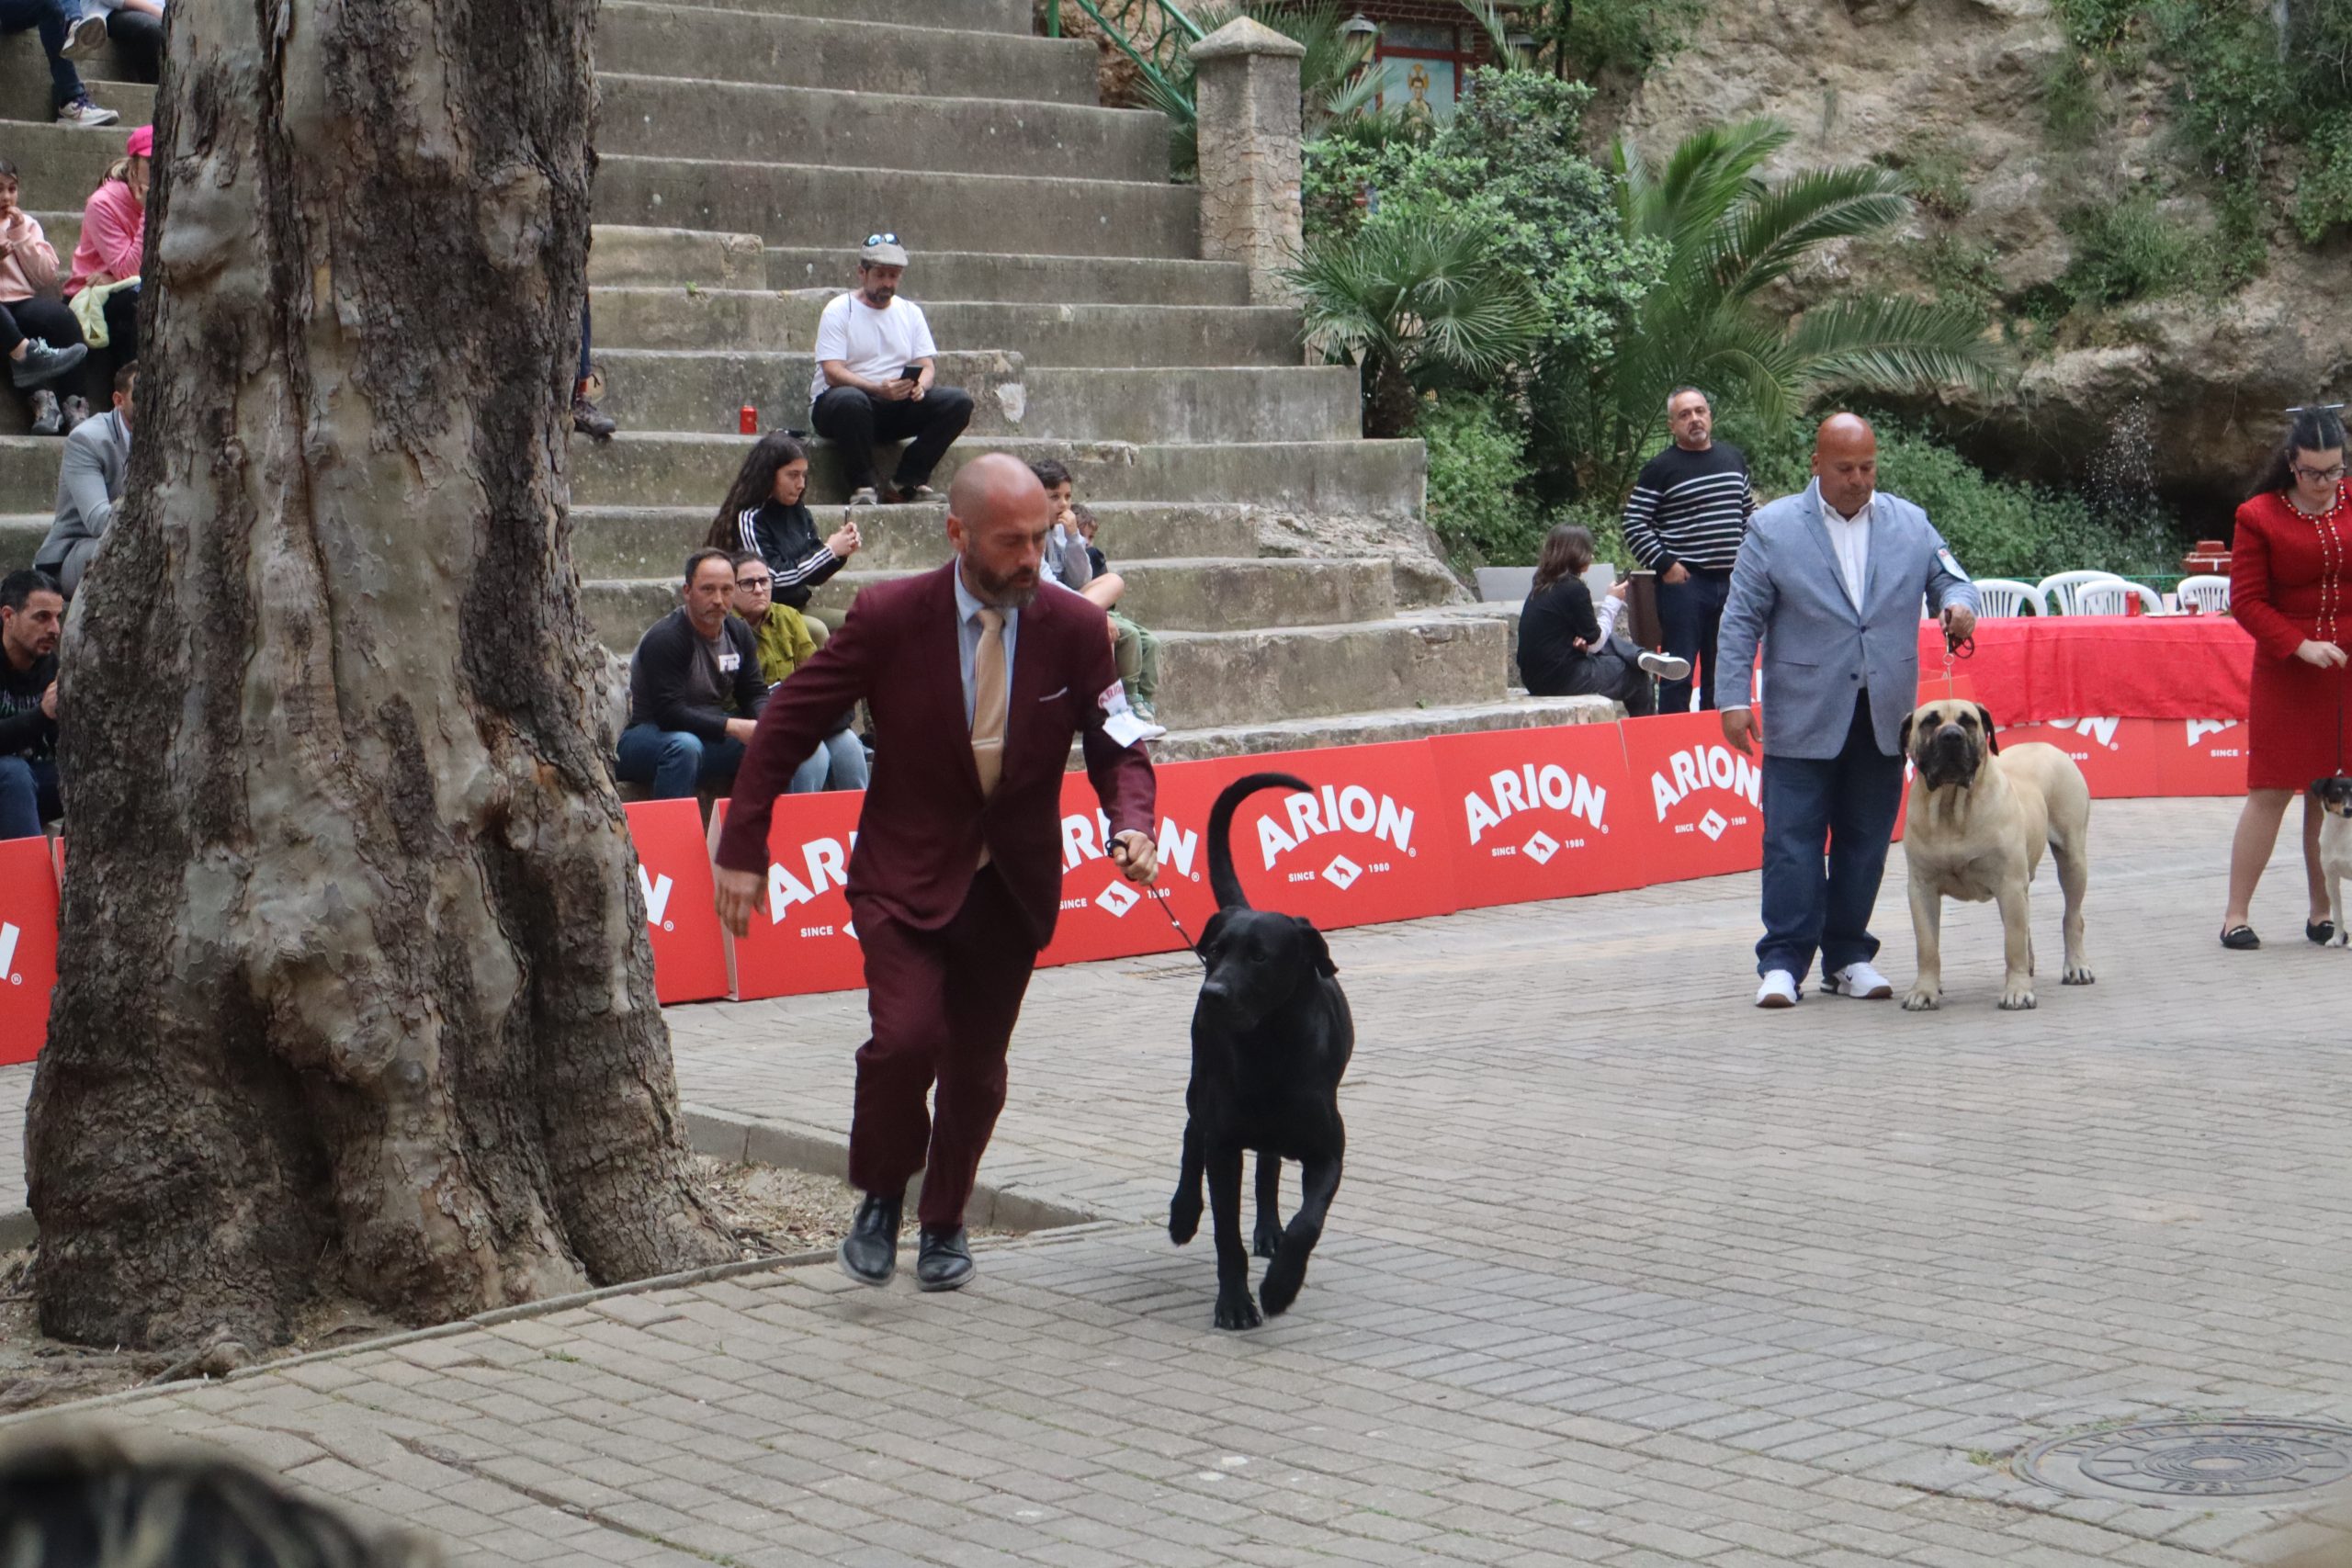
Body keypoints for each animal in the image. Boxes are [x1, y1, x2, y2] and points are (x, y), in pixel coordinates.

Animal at [1168, 773, 1354, 1331]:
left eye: (1259, 957)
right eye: (1214, 952)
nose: (1212, 994)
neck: (1269, 1048)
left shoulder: (1328, 1152)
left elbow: (1307, 1223)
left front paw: (1279, 1287)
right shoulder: (1225, 1145)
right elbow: (1226, 1235)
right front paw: (1235, 1305)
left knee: (1269, 1168)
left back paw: (1269, 1232)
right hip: (1200, 1083)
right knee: (1192, 1134)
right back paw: (1182, 1213)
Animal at [1898, 700, 2094, 1011]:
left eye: (1968, 721)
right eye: (1930, 721)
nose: (1951, 736)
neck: (1951, 807)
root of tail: (2048, 745)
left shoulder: (2009, 884)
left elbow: (2012, 943)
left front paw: (2017, 992)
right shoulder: (1921, 888)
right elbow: (1927, 946)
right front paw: (1924, 991)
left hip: (2072, 858)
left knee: (2072, 916)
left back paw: (2076, 967)